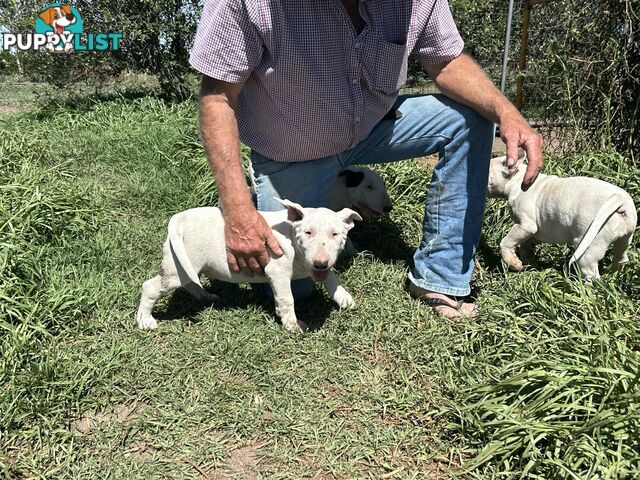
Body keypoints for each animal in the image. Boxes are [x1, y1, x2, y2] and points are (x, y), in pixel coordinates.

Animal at [490, 150, 636, 278]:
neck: (517, 180)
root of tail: (619, 199)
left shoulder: (526, 225)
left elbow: (506, 242)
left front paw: (514, 263)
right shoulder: (535, 233)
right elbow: (526, 245)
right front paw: (528, 262)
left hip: (589, 247)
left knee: (591, 273)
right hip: (624, 238)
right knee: (621, 257)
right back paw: (615, 277)